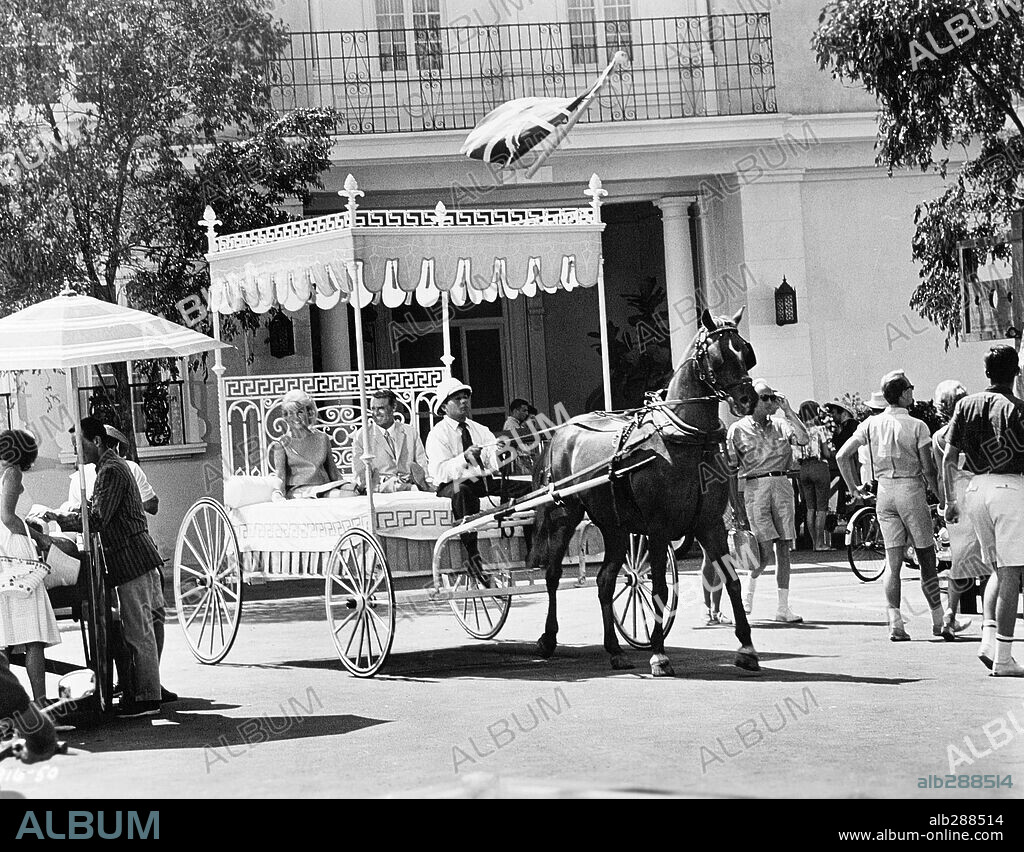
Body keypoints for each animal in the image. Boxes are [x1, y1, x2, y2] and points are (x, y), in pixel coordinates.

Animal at [528, 305, 761, 671]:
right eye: (718, 356)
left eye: (746, 352)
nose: (747, 399)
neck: (687, 439)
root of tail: (561, 433)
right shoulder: (658, 528)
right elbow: (661, 590)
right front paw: (659, 654)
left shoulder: (711, 526)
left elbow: (732, 581)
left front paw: (747, 648)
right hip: (563, 515)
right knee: (552, 575)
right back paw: (548, 639)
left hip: (614, 526)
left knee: (605, 580)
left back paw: (614, 649)